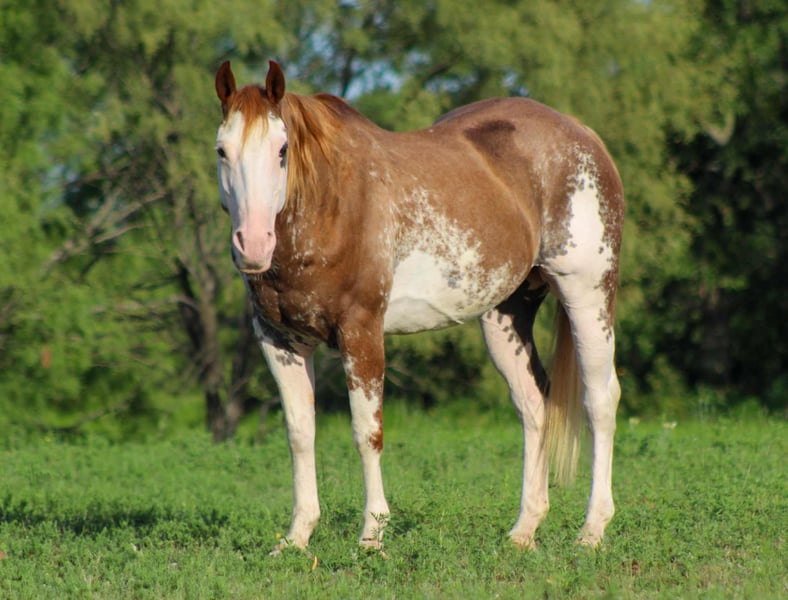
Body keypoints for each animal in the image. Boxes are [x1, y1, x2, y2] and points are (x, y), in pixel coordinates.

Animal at [214, 60, 624, 554]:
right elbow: (299, 434)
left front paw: (372, 534)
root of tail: (583, 133)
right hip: (505, 314)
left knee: (600, 400)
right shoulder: (280, 341)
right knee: (533, 405)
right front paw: (297, 537)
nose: (253, 245)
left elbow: (367, 433)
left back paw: (593, 530)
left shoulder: (361, 331)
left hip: (587, 292)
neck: (331, 207)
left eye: (281, 149)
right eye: (222, 151)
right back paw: (524, 529)